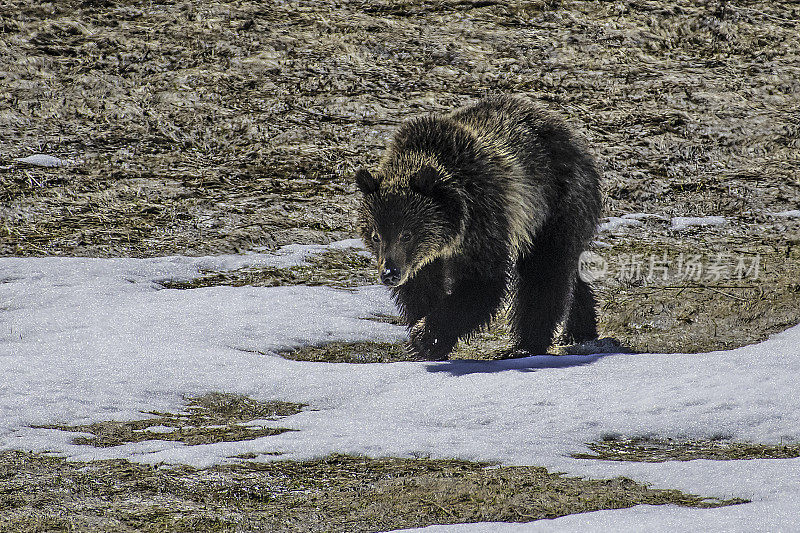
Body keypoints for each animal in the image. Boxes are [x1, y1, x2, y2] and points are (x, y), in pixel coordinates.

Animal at [356, 96, 600, 362]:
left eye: (406, 234)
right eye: (376, 235)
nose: (390, 273)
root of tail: (570, 133)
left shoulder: (483, 221)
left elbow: (483, 283)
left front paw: (426, 338)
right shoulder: (423, 260)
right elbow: (421, 289)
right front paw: (427, 340)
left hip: (552, 207)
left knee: (544, 273)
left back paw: (525, 345)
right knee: (569, 275)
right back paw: (579, 329)